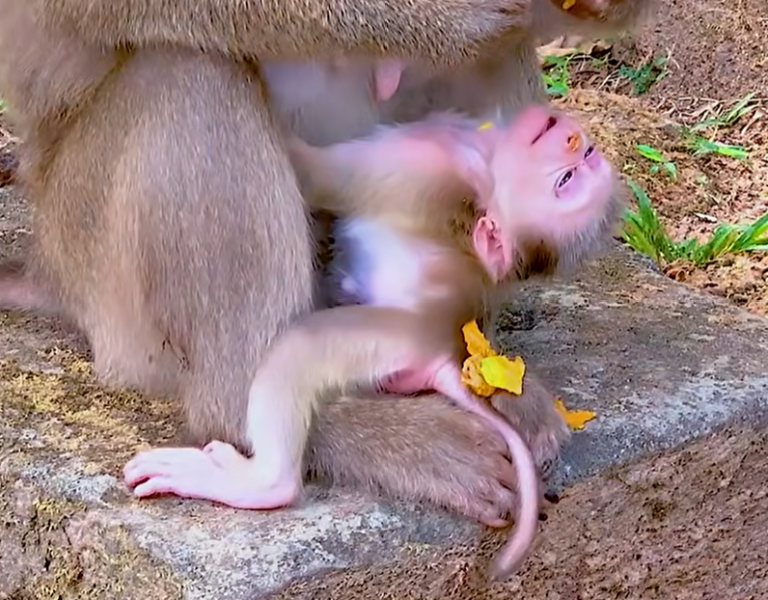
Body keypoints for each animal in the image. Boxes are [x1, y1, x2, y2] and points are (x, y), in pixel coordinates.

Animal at [0, 0, 653, 532]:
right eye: (564, 173)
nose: (570, 140)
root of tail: (50, 270)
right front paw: (437, 21)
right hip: (88, 241)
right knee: (187, 73)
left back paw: (479, 370)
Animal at [122, 103, 622, 580]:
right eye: (574, 171)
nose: (575, 141)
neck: (485, 164)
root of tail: (441, 349)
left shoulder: (424, 165)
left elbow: (318, 173)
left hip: (381, 338)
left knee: (295, 354)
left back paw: (260, 483)